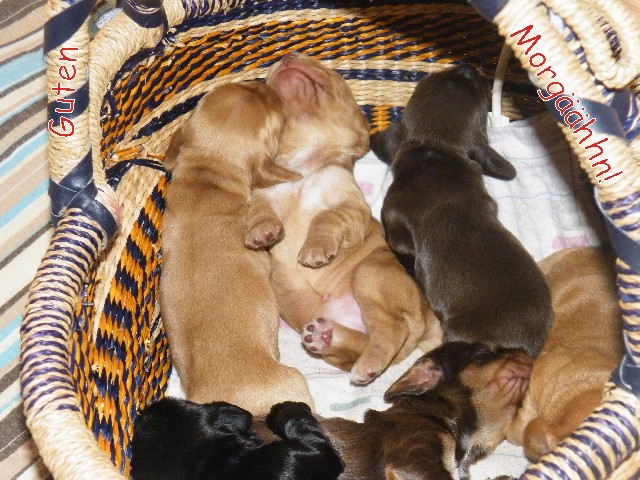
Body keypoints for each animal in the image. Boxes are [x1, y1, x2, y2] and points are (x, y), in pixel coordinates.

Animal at [244, 53, 442, 384]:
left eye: (329, 73)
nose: (288, 56)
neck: (304, 165)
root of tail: (429, 321)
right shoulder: (264, 196)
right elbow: (259, 212)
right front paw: (262, 232)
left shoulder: (351, 209)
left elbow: (326, 218)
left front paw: (315, 249)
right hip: (334, 331)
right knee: (359, 344)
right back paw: (326, 337)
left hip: (370, 274)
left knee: (392, 331)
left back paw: (367, 363)